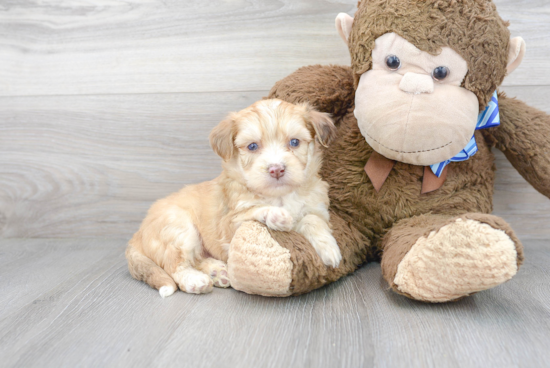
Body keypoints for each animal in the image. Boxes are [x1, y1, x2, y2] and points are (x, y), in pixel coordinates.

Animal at [127, 99, 342, 298]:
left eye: (294, 142)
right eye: (253, 146)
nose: (276, 169)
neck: (279, 195)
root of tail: (138, 233)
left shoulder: (317, 208)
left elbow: (312, 219)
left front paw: (329, 248)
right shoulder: (228, 224)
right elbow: (253, 209)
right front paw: (276, 215)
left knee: (197, 259)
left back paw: (217, 272)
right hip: (178, 230)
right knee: (176, 264)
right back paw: (195, 280)